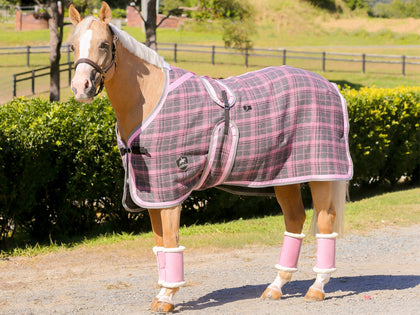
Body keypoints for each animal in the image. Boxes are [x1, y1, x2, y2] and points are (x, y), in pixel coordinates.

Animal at [68, 2, 352, 314]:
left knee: (325, 223)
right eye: (72, 46)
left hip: (321, 174)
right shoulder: (153, 193)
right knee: (294, 220)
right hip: (286, 177)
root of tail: (331, 87)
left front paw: (168, 296)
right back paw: (275, 287)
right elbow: (160, 245)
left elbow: (171, 242)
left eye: (103, 44)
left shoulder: (171, 191)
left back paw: (317, 288)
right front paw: (162, 292)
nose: (81, 87)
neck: (152, 100)